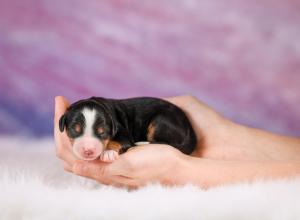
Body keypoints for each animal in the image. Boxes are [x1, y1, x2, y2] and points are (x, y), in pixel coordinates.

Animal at [59, 97, 198, 162]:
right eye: (75, 129)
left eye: (102, 132)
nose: (88, 151)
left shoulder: (123, 133)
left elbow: (118, 141)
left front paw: (108, 152)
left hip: (161, 121)